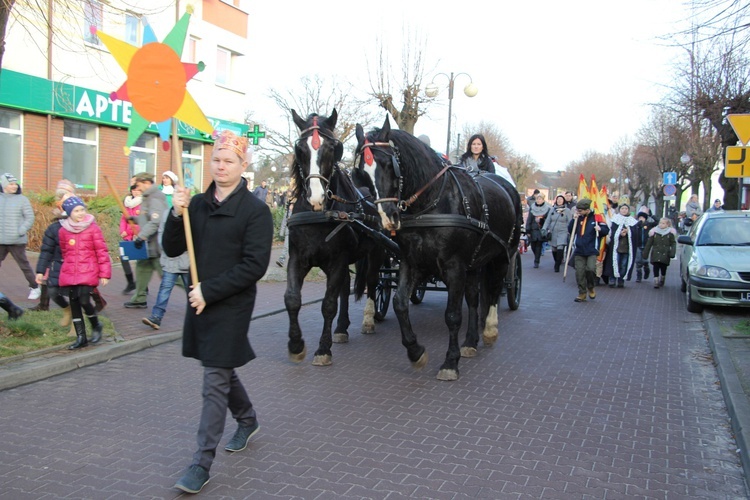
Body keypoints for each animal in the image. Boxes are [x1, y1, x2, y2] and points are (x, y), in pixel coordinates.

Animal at [284, 110, 384, 368]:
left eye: (333, 148)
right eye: (300, 148)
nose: (316, 197)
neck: (319, 215)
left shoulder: (337, 260)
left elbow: (328, 304)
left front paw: (322, 349)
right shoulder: (298, 258)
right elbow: (292, 299)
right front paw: (296, 346)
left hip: (375, 253)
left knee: (372, 283)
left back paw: (368, 320)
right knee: (344, 290)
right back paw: (341, 328)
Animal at [354, 117, 524, 380]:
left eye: (390, 164)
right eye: (362, 172)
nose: (388, 218)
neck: (432, 204)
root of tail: (508, 188)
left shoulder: (454, 267)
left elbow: (452, 315)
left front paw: (450, 363)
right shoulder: (412, 261)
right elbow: (400, 303)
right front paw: (416, 352)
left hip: (502, 256)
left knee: (495, 290)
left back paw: (489, 331)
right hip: (474, 264)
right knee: (474, 299)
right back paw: (470, 343)